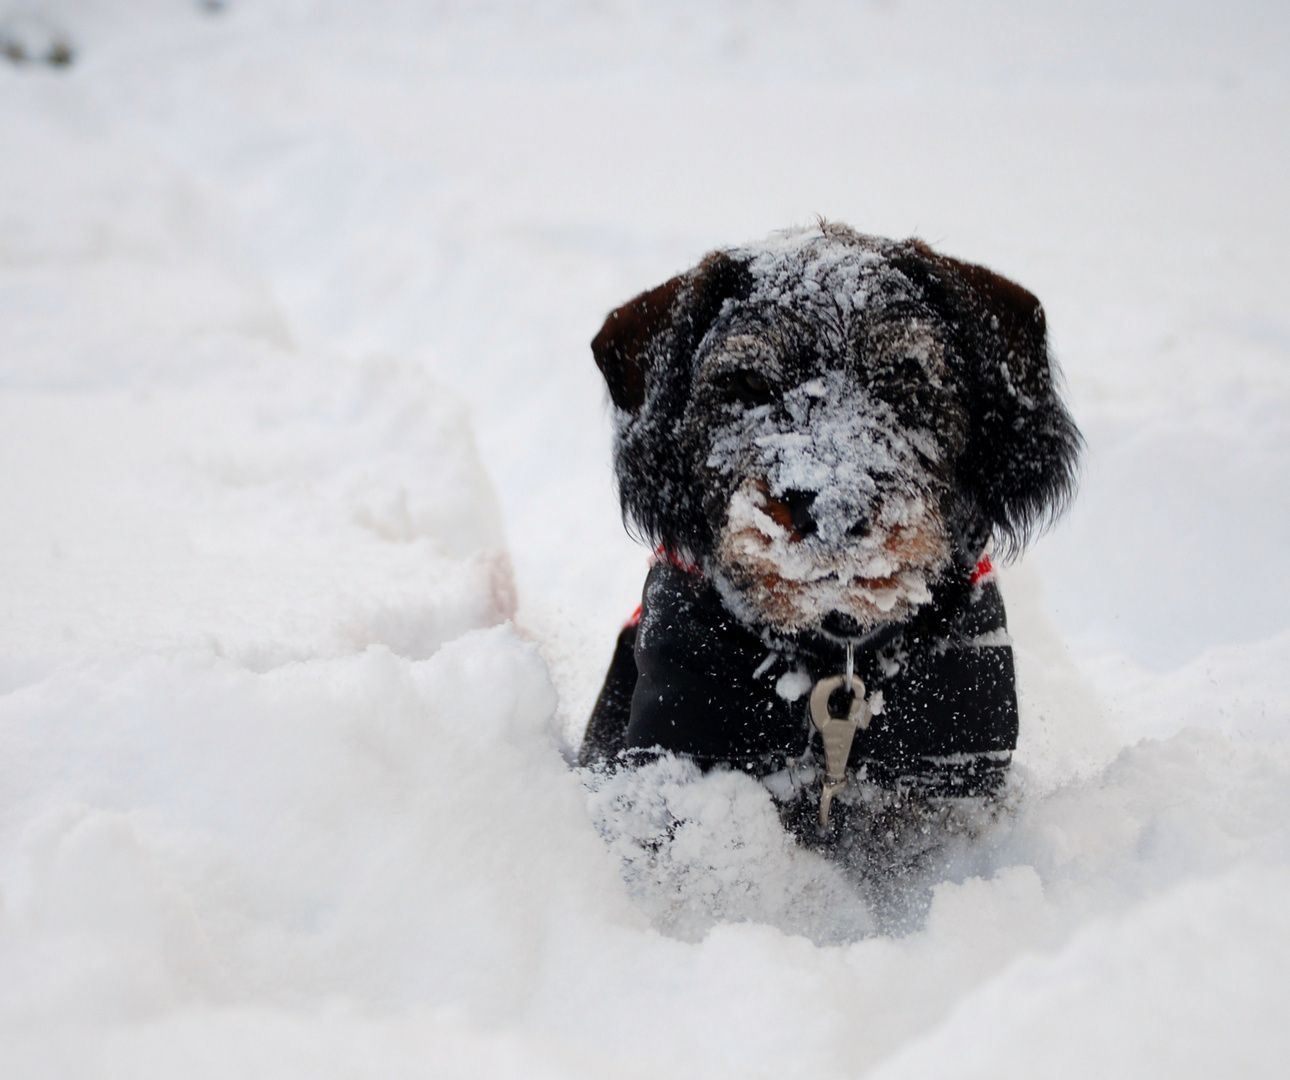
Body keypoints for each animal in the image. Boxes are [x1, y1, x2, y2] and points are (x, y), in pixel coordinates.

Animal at [583, 220, 1078, 861]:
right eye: (748, 381)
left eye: (905, 374)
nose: (833, 507)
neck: (837, 647)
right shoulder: (685, 749)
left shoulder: (949, 770)